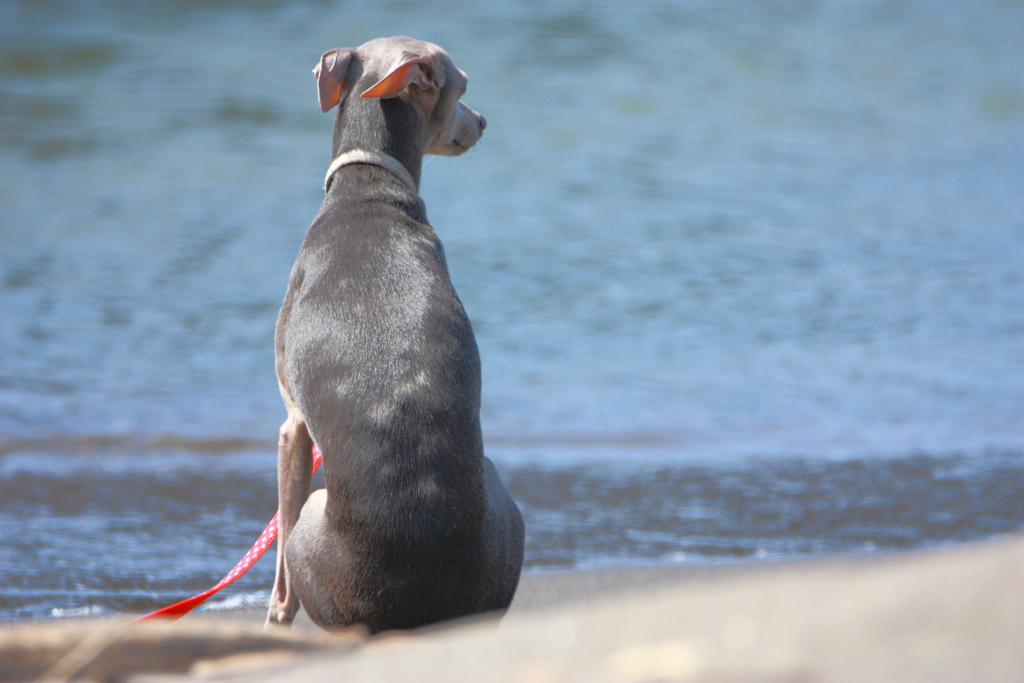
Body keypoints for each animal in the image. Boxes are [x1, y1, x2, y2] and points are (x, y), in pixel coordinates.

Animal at [264, 38, 524, 634]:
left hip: (315, 516)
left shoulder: (292, 426)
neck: (368, 189)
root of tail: (415, 608)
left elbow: (280, 585)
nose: (483, 121)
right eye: (463, 87)